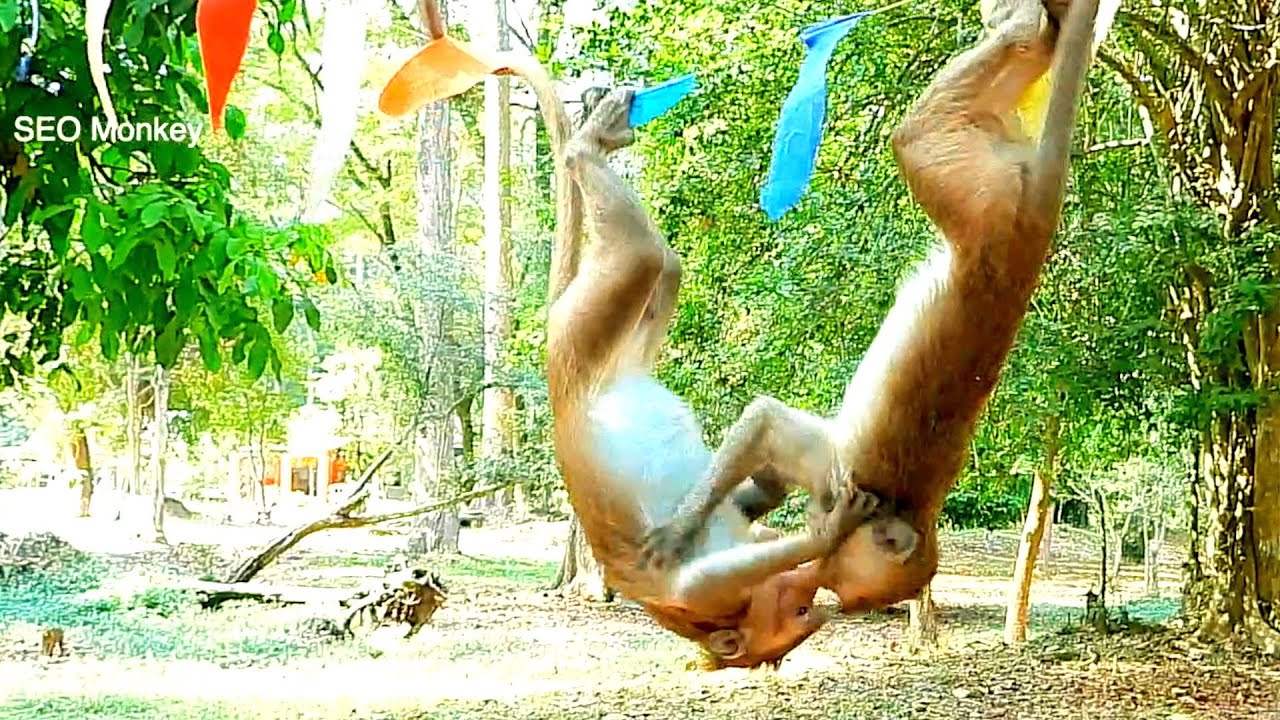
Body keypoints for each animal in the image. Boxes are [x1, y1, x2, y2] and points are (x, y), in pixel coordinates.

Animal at [642, 0, 1099, 614]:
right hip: (983, 197)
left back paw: (1026, 27)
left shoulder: (832, 485)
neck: (905, 505)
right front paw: (682, 531)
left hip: (987, 193)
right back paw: (1028, 24)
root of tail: (1033, 232)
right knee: (920, 134)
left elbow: (767, 448)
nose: (821, 587)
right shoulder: (842, 477)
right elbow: (766, 423)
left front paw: (750, 505)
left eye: (841, 584)